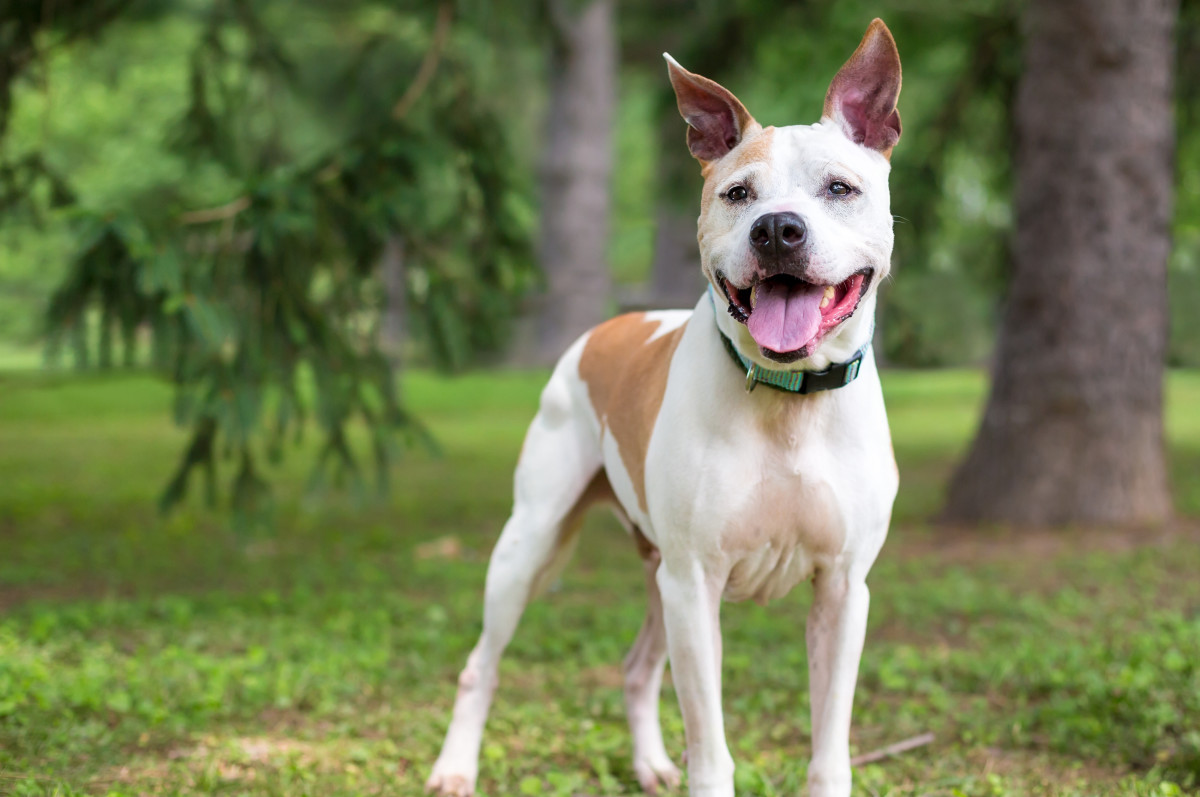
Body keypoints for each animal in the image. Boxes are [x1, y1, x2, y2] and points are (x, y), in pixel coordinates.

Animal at [429, 18, 902, 797]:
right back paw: (454, 767)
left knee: (636, 667)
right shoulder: (695, 583)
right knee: (482, 665)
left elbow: (828, 744)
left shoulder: (843, 590)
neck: (787, 399)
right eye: (738, 193)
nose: (778, 228)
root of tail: (612, 324)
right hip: (531, 544)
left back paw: (650, 763)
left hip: (656, 574)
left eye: (840, 187)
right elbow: (710, 746)